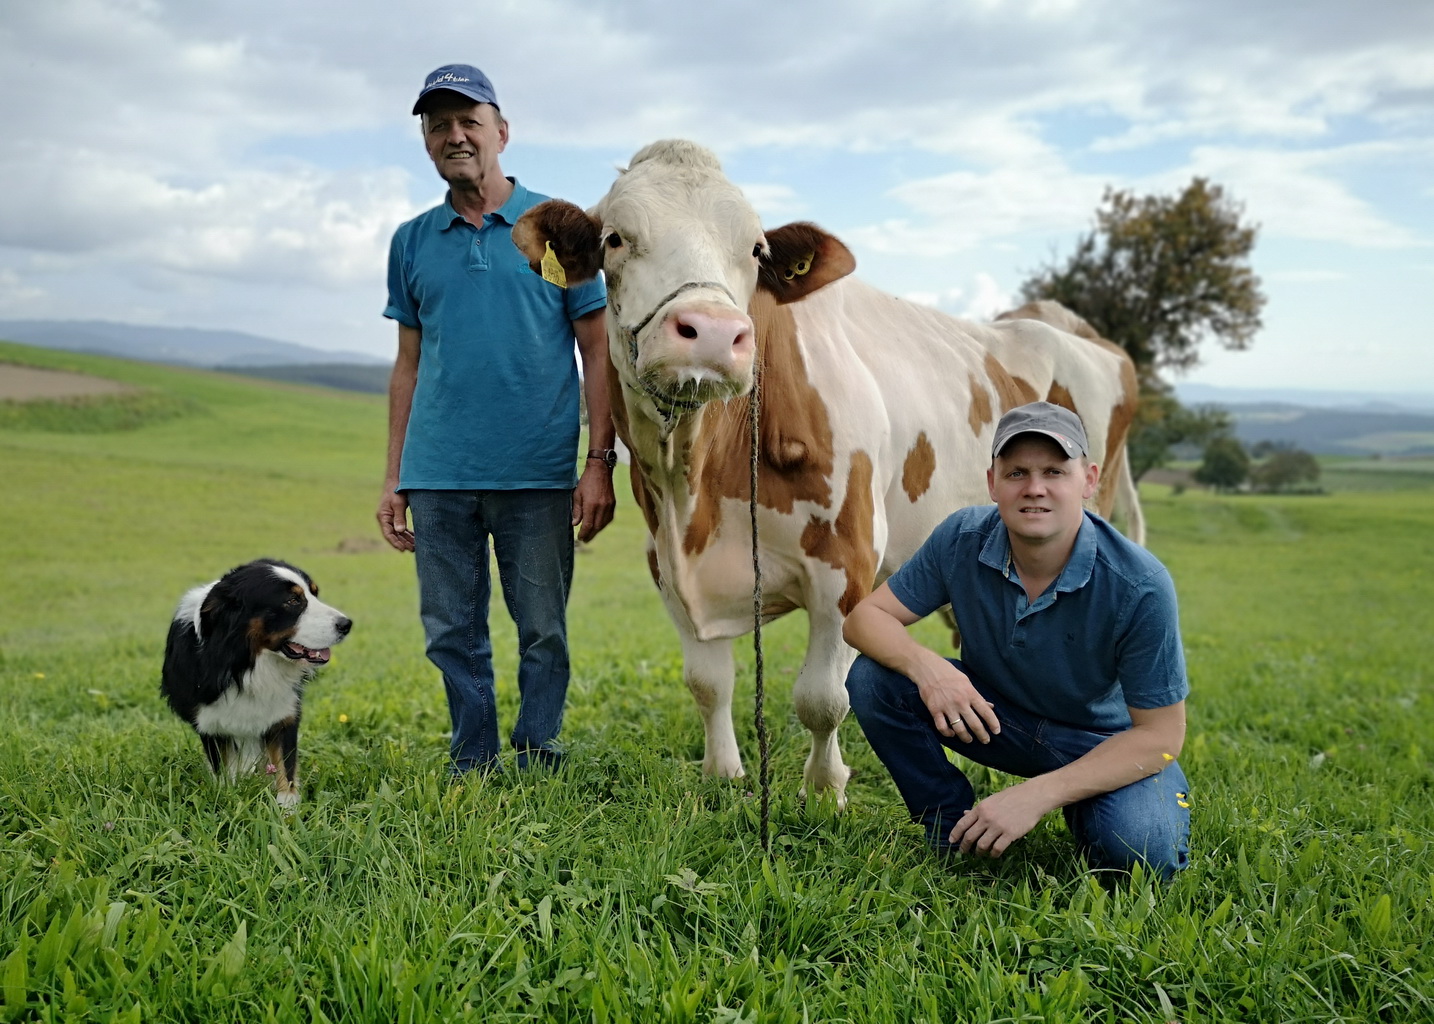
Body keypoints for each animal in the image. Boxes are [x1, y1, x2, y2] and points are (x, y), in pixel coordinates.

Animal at [161, 559, 351, 803]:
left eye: (314, 594)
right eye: (292, 601)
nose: (346, 624)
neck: (247, 664)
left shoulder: (284, 715)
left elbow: (285, 768)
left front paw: (287, 807)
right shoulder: (210, 723)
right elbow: (225, 771)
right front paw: (230, 796)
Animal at [516, 141, 1141, 803]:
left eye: (756, 250)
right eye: (614, 239)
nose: (712, 332)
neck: (700, 491)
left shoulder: (849, 561)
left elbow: (823, 698)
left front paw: (824, 790)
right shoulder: (666, 565)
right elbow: (708, 683)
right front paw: (722, 774)